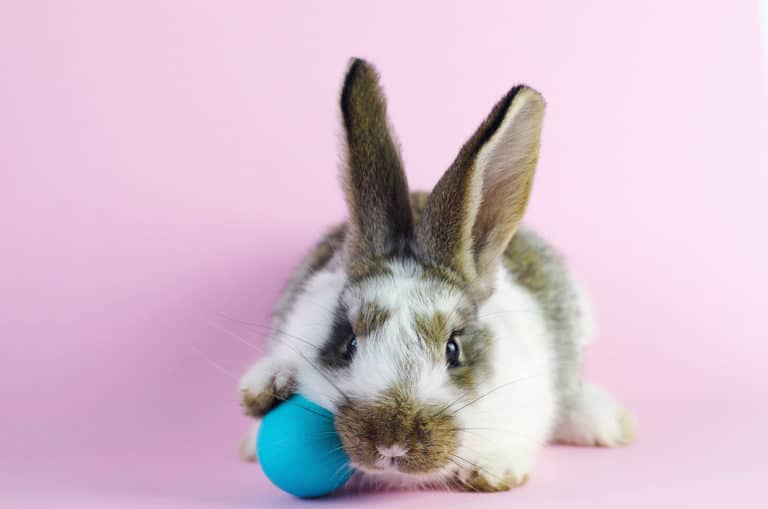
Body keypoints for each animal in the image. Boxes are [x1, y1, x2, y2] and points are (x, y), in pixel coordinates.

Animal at [238, 58, 635, 492]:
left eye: (453, 349)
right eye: (349, 344)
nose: (393, 444)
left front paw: (492, 470)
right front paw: (267, 386)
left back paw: (607, 423)